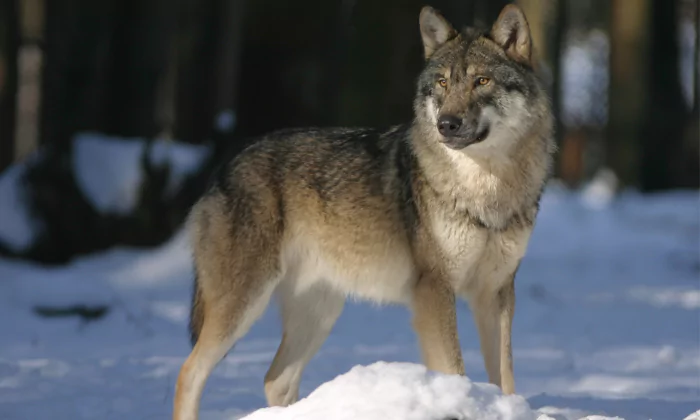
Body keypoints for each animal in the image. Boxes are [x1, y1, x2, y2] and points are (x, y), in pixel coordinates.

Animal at [174, 4, 552, 420]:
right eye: (441, 83)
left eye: (481, 81)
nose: (446, 125)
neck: (485, 189)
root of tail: (224, 166)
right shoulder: (435, 290)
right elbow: (454, 368)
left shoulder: (496, 292)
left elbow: (505, 378)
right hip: (243, 305)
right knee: (189, 372)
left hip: (320, 312)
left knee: (276, 379)